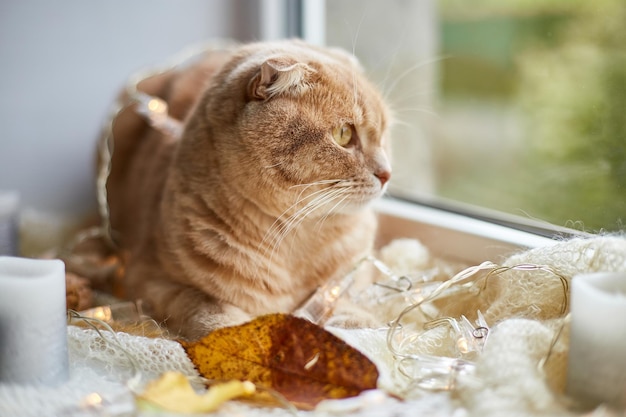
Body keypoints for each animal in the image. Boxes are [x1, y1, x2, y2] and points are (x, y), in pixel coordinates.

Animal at [106, 39, 390, 338]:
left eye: (384, 135)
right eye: (343, 135)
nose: (387, 173)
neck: (294, 240)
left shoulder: (353, 275)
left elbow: (343, 301)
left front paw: (354, 322)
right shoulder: (151, 279)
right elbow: (208, 308)